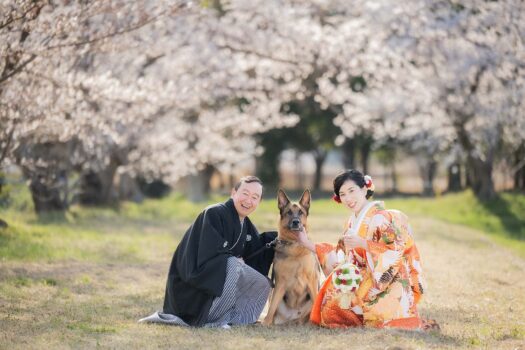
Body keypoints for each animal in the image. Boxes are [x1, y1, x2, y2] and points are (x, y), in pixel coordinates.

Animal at [264, 189, 318, 326]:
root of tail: (293, 318)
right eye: (288, 212)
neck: (294, 245)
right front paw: (266, 322)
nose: (296, 222)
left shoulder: (312, 280)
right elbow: (272, 307)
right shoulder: (280, 283)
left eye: (301, 212)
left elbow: (316, 299)